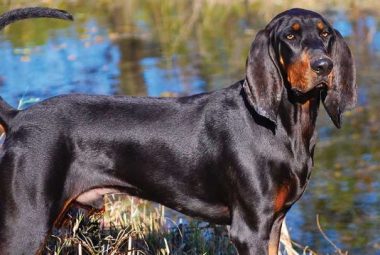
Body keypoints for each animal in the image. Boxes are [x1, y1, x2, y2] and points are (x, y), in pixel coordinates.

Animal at [0, 6, 354, 254]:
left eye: (325, 34)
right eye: (290, 37)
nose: (324, 65)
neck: (283, 126)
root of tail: (18, 117)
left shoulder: (273, 224)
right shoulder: (250, 228)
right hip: (26, 223)